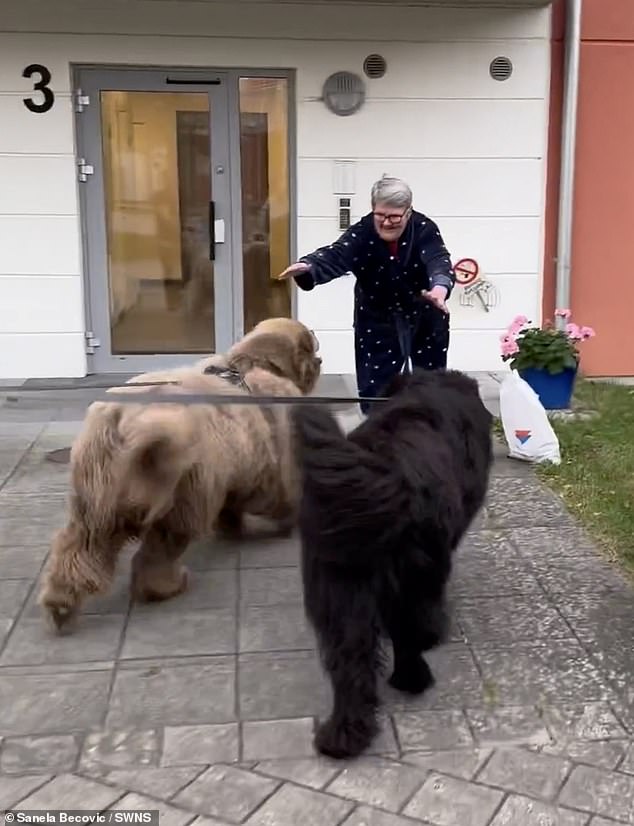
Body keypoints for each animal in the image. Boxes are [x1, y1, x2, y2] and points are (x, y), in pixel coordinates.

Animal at [38, 316, 320, 632]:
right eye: (308, 350)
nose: (320, 360)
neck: (247, 367)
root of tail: (125, 422)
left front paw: (231, 523)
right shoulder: (269, 457)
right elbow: (280, 490)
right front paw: (285, 520)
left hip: (94, 499)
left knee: (81, 546)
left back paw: (60, 602)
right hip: (181, 496)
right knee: (159, 552)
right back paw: (165, 586)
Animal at [292, 370, 494, 756]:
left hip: (338, 585)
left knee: (349, 659)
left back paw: (343, 735)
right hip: (414, 576)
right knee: (409, 634)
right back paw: (413, 677)